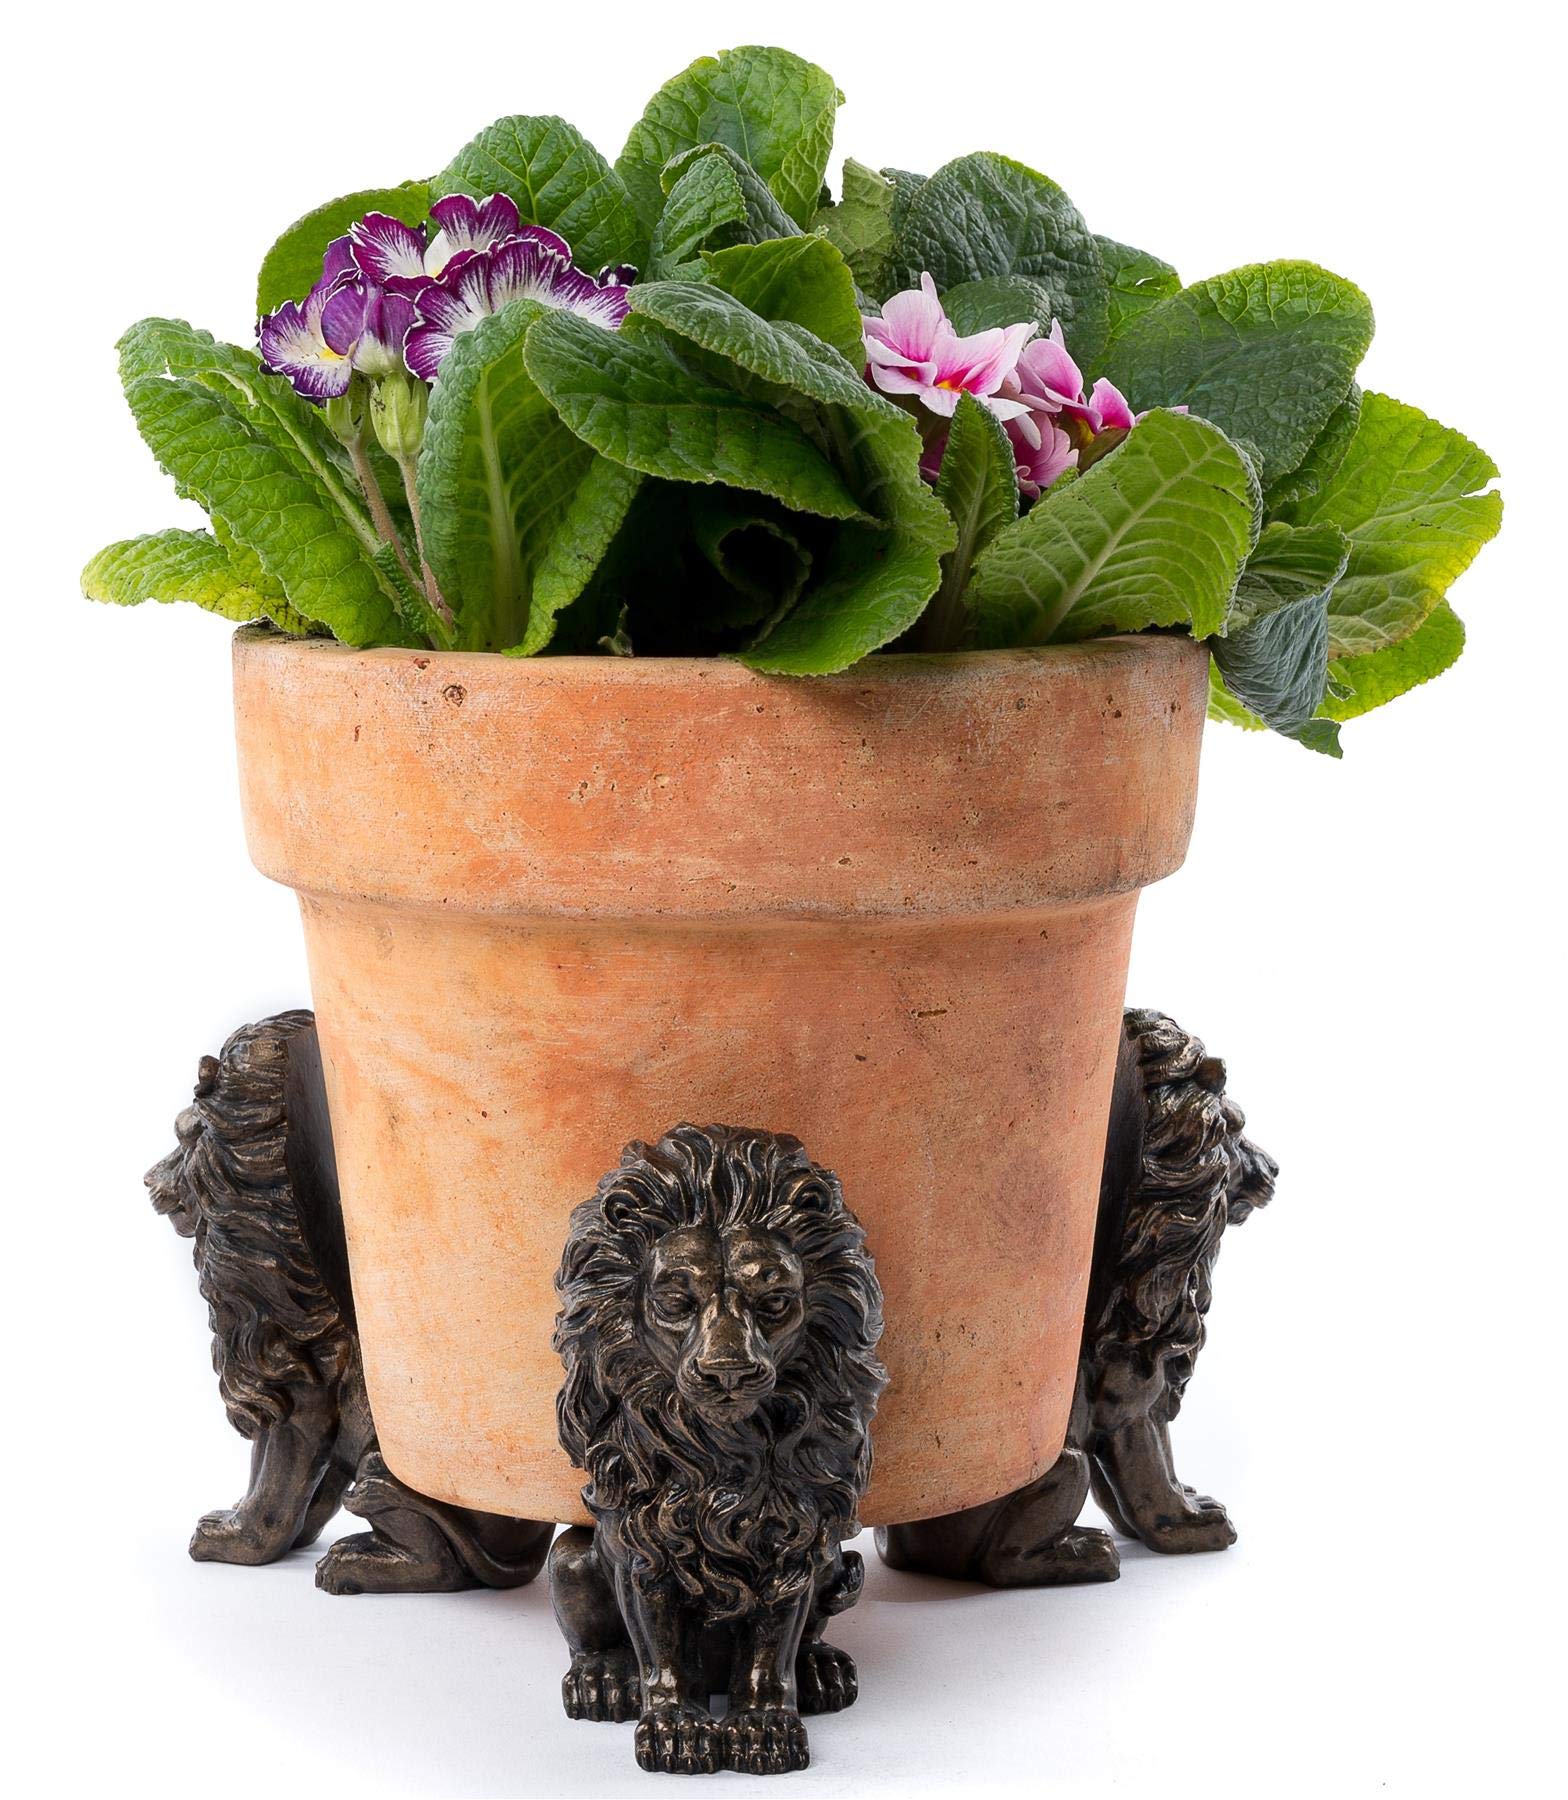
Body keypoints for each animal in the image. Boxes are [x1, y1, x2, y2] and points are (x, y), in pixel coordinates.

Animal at [146, 1011, 554, 1594]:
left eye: (183, 1137)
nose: (146, 1181)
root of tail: (531, 1542)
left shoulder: (299, 1408)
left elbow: (272, 1494)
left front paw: (231, 1542)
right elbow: (297, 1495)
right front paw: (283, 1536)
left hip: (383, 1469)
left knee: (439, 1565)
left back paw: (353, 1564)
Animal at [551, 1123, 888, 1776]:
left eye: (774, 1302)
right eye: (676, 1302)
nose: (727, 1371)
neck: (725, 1457)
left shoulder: (794, 1540)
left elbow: (770, 1649)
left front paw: (764, 1727)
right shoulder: (647, 1546)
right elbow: (660, 1651)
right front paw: (675, 1730)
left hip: (838, 1560)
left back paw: (822, 1672)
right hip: (572, 1560)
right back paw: (603, 1682)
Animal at [878, 1006, 1277, 1586]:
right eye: (1240, 1129)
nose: (1276, 1169)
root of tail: (902, 1547)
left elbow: (1127, 1495)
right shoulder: (1133, 1407)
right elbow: (1153, 1480)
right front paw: (1193, 1526)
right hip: (1064, 1465)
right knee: (1002, 1565)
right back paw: (1085, 1553)